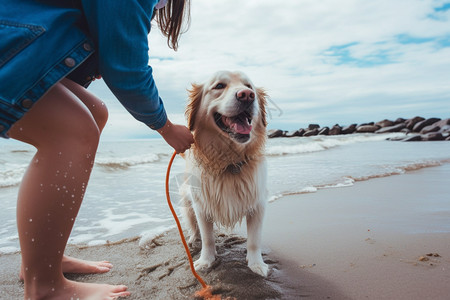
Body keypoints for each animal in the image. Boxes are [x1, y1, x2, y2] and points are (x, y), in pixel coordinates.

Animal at [181, 70, 268, 276]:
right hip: (188, 200)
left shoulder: (258, 203)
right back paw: (192, 239)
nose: (247, 95)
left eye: (249, 86)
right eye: (219, 86)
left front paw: (256, 265)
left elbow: (254, 240)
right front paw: (205, 261)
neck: (229, 161)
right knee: (193, 226)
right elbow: (207, 237)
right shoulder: (201, 205)